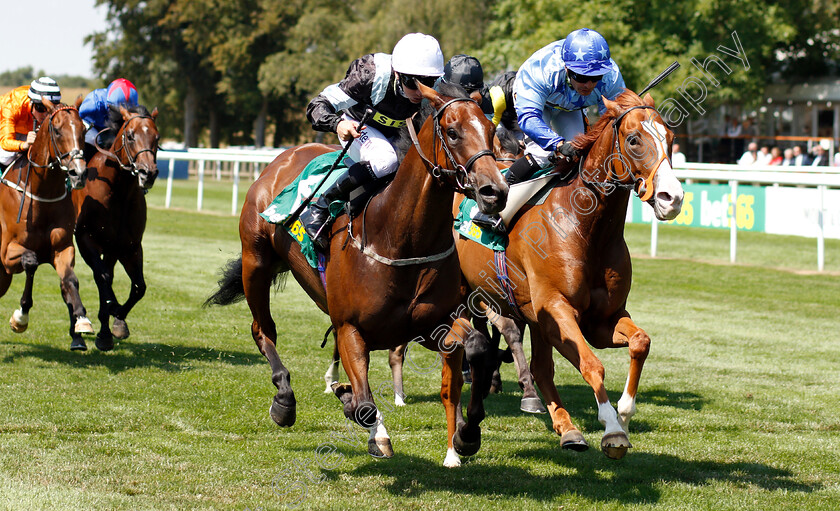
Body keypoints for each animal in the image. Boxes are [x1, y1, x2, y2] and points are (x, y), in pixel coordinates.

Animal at [0, 97, 91, 350]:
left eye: (83, 130)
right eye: (57, 131)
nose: (78, 173)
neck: (41, 193)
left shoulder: (62, 247)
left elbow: (69, 279)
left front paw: (82, 319)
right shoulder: (6, 254)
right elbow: (30, 261)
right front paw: (20, 317)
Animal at [71, 104, 160, 352]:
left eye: (157, 138)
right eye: (130, 136)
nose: (148, 173)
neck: (118, 191)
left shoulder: (129, 246)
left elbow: (139, 287)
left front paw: (116, 321)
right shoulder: (86, 239)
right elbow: (102, 277)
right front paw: (107, 324)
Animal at [205, 83, 506, 468]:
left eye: (492, 130)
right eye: (452, 132)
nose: (495, 191)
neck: (398, 237)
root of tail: (283, 158)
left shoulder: (429, 326)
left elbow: (477, 349)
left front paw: (467, 434)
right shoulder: (351, 328)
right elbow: (364, 405)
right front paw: (367, 421)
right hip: (255, 261)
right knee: (263, 330)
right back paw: (285, 400)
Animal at [452, 91, 684, 460]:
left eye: (671, 139)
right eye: (634, 139)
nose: (671, 198)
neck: (585, 226)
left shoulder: (600, 319)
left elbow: (640, 342)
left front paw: (624, 414)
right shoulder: (557, 308)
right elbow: (592, 365)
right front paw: (613, 430)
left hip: (530, 313)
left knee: (541, 369)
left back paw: (566, 427)